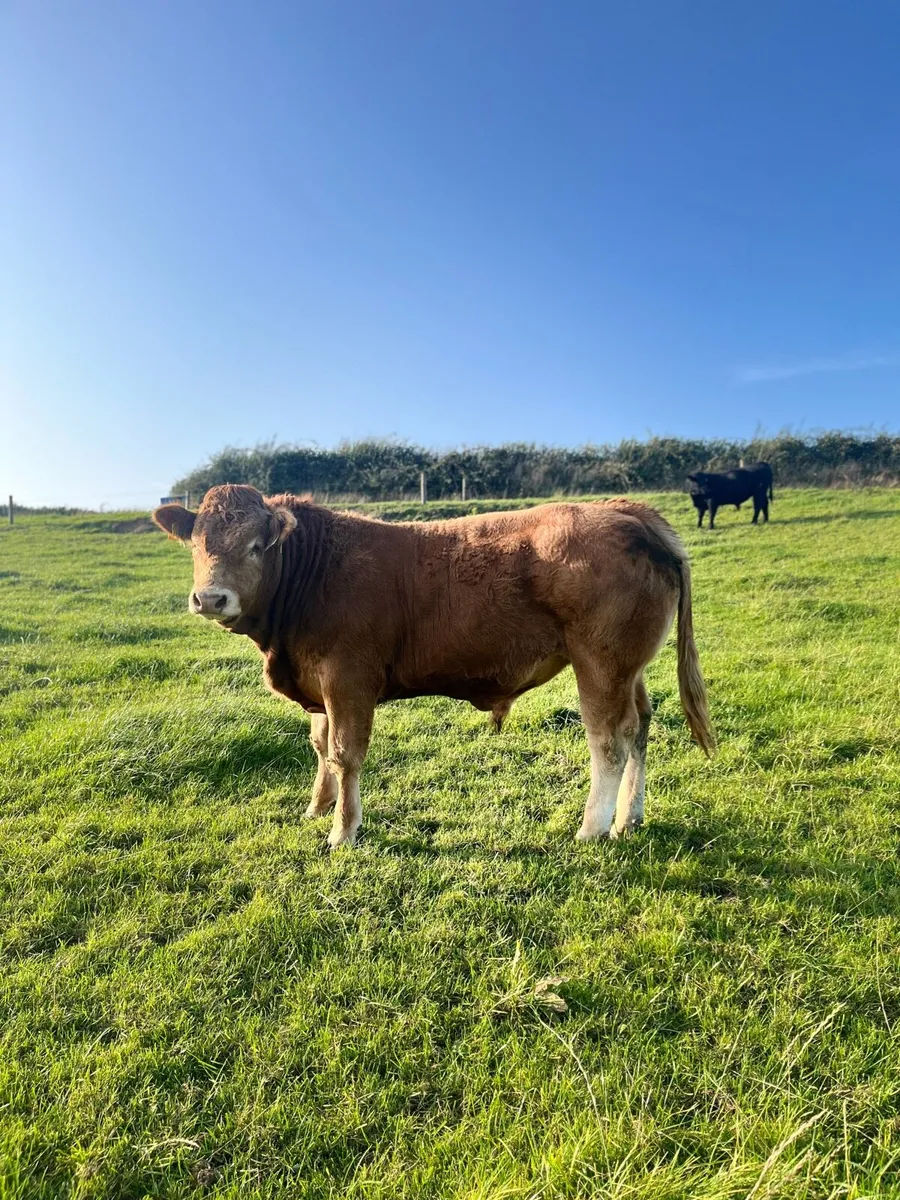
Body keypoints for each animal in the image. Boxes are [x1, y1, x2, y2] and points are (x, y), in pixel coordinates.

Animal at [152, 485, 714, 848]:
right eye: (197, 543)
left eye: (256, 545)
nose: (211, 598)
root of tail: (627, 511)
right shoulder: (321, 685)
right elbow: (320, 747)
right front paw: (317, 807)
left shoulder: (348, 679)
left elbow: (345, 754)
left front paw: (342, 831)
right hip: (628, 669)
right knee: (640, 725)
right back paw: (628, 818)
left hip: (599, 663)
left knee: (609, 739)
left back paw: (593, 828)